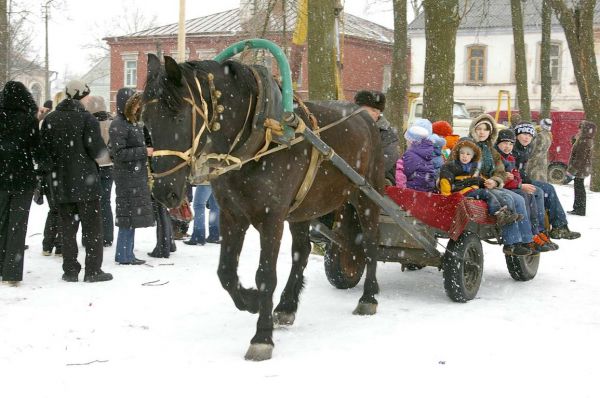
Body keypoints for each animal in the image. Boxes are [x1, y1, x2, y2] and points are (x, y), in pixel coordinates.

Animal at [141, 53, 384, 360]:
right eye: (146, 121)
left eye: (179, 116)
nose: (164, 192)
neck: (260, 135)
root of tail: (366, 117)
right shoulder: (232, 215)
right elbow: (226, 272)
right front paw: (252, 301)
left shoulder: (272, 219)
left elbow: (266, 274)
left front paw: (262, 337)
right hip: (303, 208)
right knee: (302, 251)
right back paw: (287, 305)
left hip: (366, 195)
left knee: (371, 243)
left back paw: (369, 297)